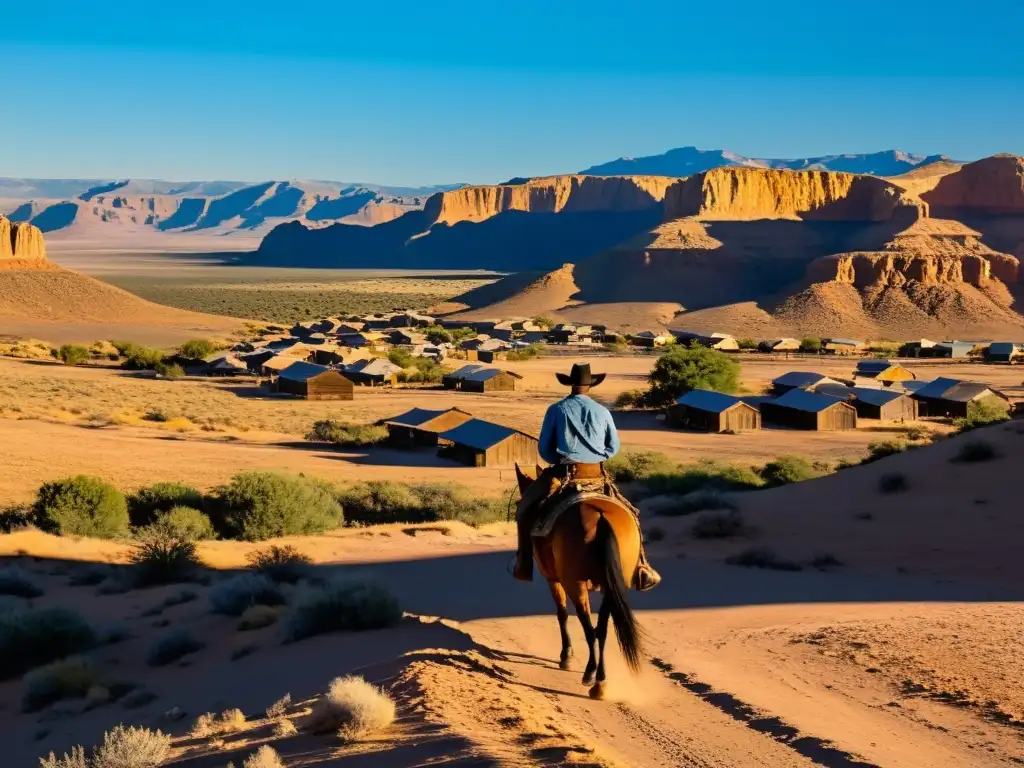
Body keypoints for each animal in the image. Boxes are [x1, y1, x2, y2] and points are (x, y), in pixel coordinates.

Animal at [516, 466, 643, 700]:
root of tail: (600, 516)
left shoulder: (553, 580)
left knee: (589, 628)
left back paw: (590, 675)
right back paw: (601, 682)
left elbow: (562, 614)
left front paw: (566, 655)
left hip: (575, 585)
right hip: (610, 588)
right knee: (601, 629)